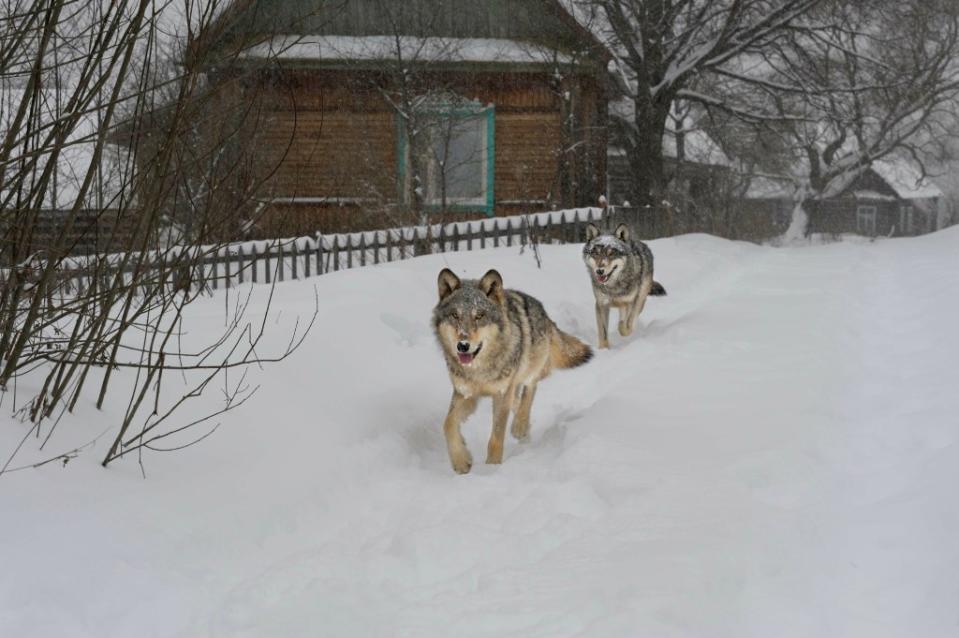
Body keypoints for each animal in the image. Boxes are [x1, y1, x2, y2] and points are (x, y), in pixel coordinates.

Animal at [434, 268, 592, 472]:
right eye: (455, 315)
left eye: (479, 316)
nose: (463, 346)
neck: (480, 369)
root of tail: (544, 312)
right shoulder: (466, 393)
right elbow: (448, 424)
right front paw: (461, 461)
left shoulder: (501, 394)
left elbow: (496, 436)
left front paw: (492, 467)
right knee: (517, 400)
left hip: (529, 370)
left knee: (530, 390)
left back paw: (520, 426)